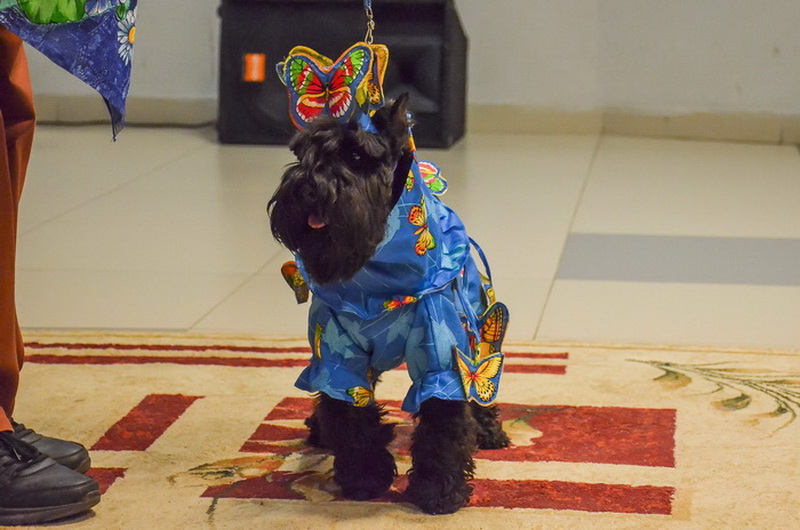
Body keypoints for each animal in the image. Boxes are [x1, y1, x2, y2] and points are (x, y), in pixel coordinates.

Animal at [268, 94, 509, 514]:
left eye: (357, 155)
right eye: (303, 153)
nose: (308, 188)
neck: (374, 279)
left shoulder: (442, 356)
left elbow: (443, 422)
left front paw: (439, 492)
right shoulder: (337, 358)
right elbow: (351, 418)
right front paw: (364, 479)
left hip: (479, 326)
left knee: (481, 378)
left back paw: (488, 430)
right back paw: (318, 430)